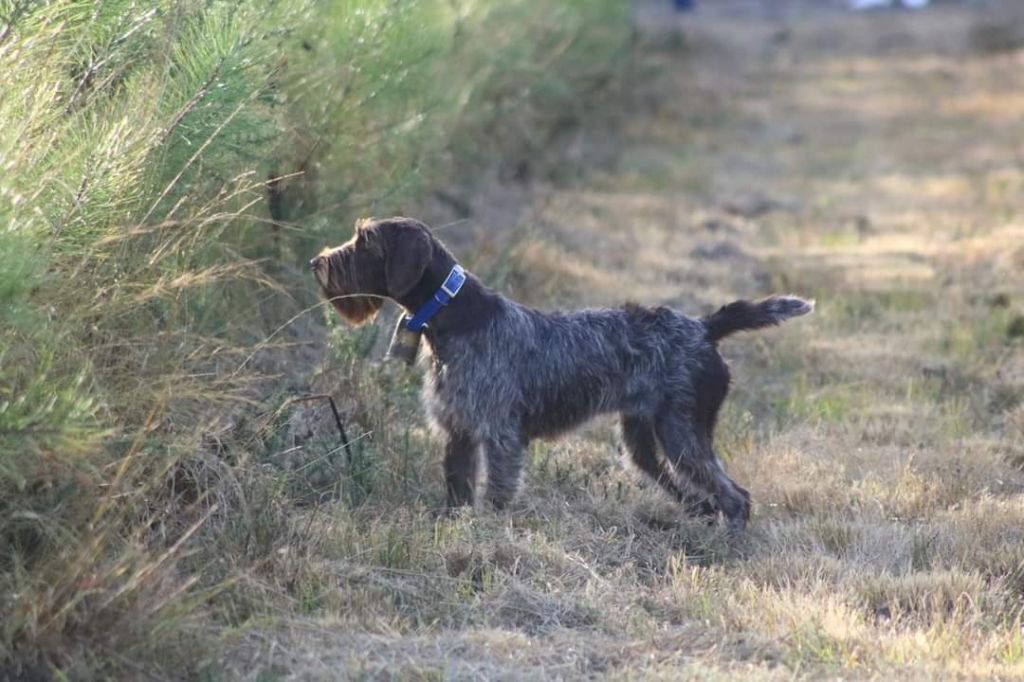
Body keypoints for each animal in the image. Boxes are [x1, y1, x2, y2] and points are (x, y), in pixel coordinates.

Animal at [307, 216, 811, 532]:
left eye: (366, 242)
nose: (316, 262)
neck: (454, 316)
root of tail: (704, 327)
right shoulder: (459, 433)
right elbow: (457, 492)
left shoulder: (500, 437)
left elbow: (495, 496)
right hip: (643, 440)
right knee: (700, 495)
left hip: (682, 433)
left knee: (736, 496)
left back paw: (728, 545)